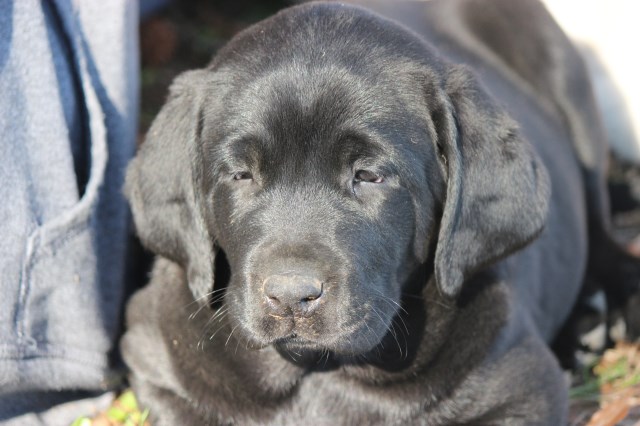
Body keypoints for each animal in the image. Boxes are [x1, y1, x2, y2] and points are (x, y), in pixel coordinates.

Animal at [122, 1, 636, 424]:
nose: (291, 296)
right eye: (242, 174)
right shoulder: (158, 365)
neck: (318, 370)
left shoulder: (522, 388)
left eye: (369, 176)